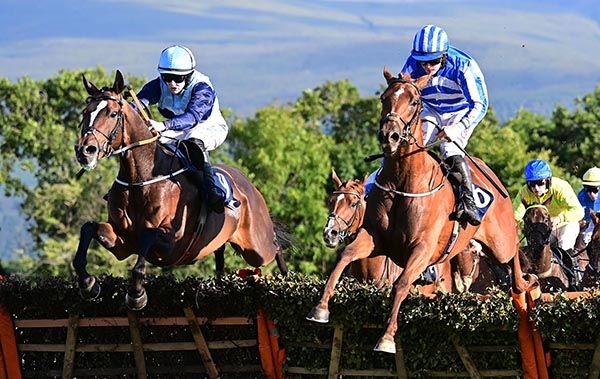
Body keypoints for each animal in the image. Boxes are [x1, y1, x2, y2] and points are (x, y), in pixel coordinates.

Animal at [72, 71, 288, 312]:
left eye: (112, 113)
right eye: (85, 113)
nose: (85, 151)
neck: (141, 178)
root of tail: (250, 187)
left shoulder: (171, 244)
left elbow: (148, 237)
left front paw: (136, 294)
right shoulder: (123, 241)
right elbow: (88, 228)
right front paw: (89, 284)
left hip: (256, 247)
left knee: (275, 248)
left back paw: (287, 280)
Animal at [310, 67, 528, 354]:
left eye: (414, 101)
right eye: (384, 98)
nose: (389, 135)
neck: (404, 181)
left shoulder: (422, 249)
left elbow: (401, 284)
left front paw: (386, 338)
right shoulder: (374, 238)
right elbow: (344, 257)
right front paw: (321, 308)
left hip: (500, 240)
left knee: (513, 255)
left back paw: (523, 286)